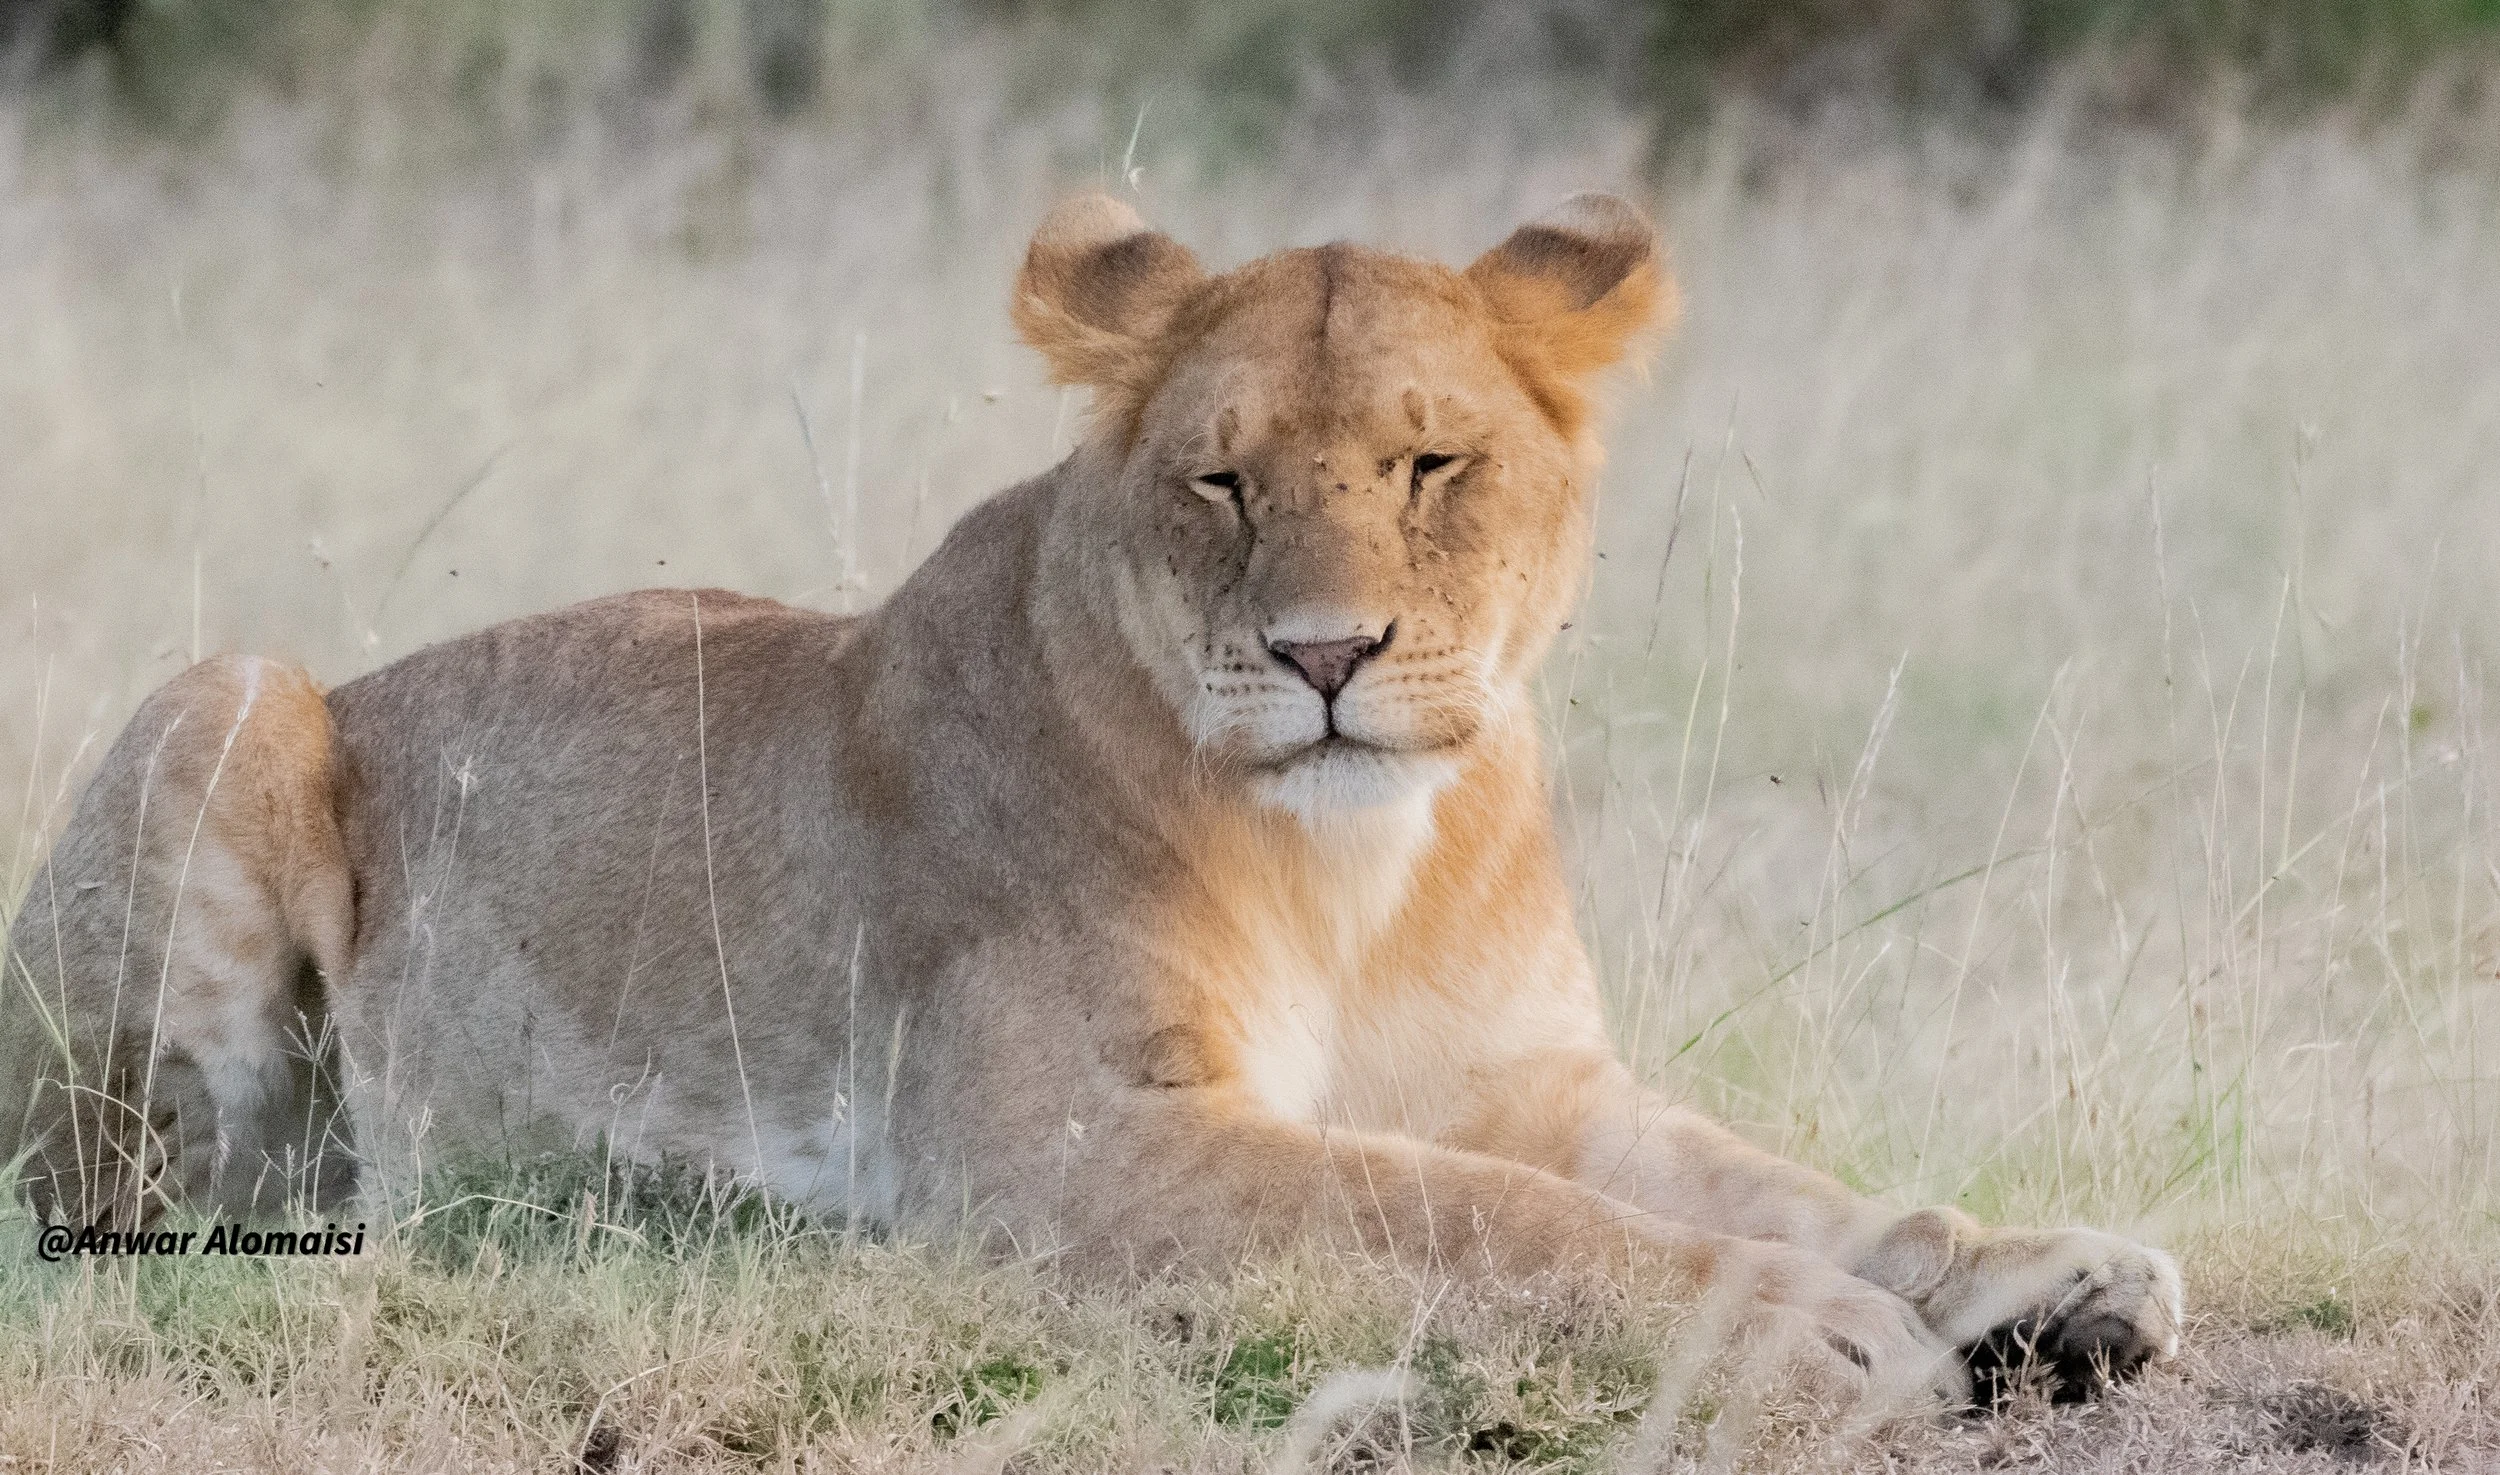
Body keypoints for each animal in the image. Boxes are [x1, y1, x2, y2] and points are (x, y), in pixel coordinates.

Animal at [4, 193, 2179, 1404]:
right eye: (1220, 479)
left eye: (1430, 464)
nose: (1325, 656)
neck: (1362, 863)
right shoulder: (1074, 1144)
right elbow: (1471, 1211)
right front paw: (1805, 1328)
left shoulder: (1531, 1079)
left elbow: (1777, 1175)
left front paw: (2049, 1276)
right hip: (232, 697)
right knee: (144, 1203)